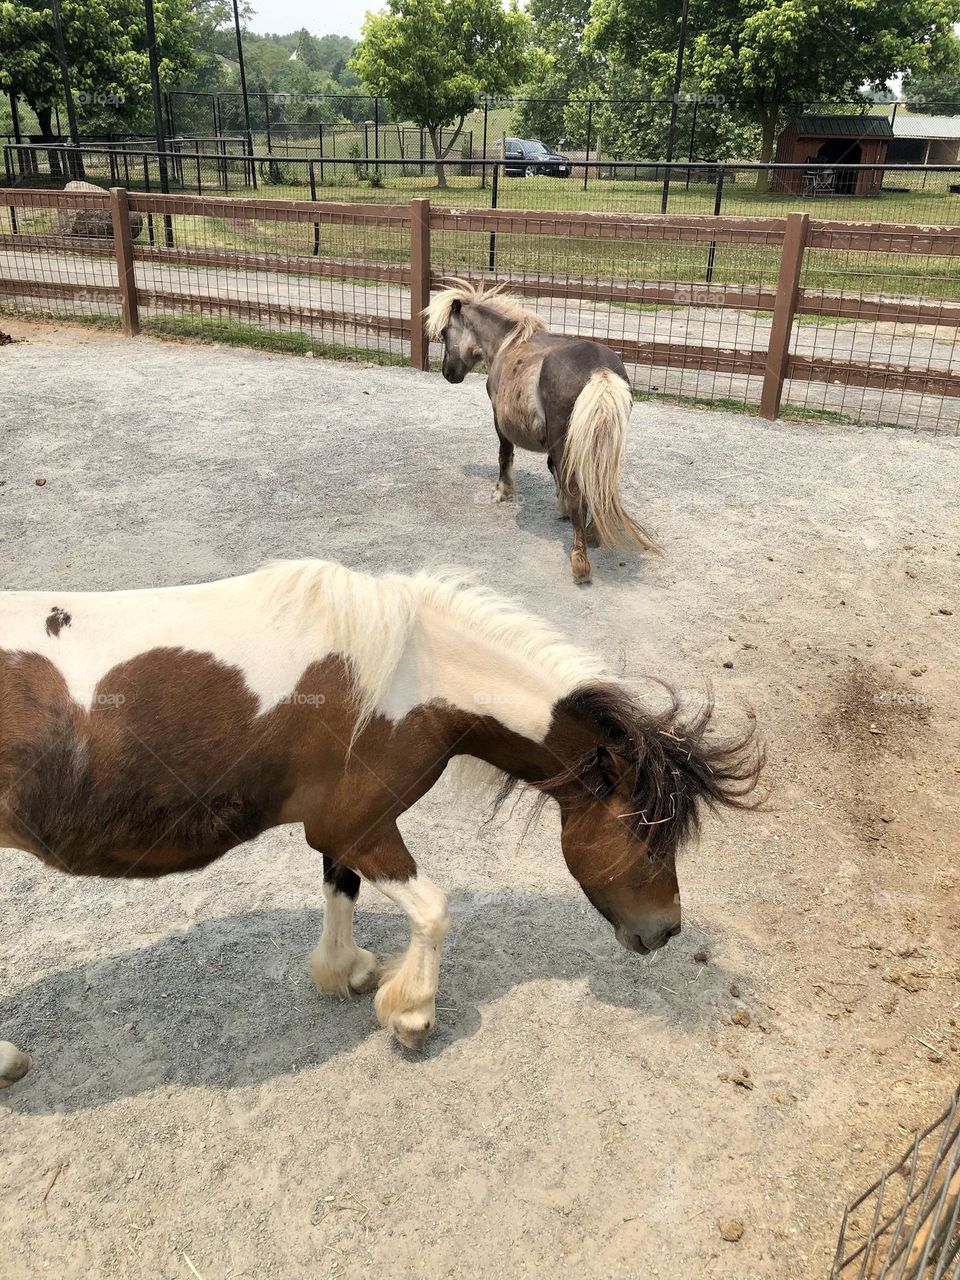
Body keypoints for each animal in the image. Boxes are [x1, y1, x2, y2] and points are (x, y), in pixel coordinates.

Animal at [0, 559, 761, 1083]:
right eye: (645, 831)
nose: (666, 931)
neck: (412, 675)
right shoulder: (364, 828)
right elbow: (433, 910)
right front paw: (412, 1013)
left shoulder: (342, 827)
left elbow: (340, 889)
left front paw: (348, 972)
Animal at [425, 279, 660, 583]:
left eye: (444, 333)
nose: (447, 373)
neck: (507, 344)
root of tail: (600, 370)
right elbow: (552, 469)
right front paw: (560, 506)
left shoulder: (499, 420)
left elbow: (505, 455)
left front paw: (502, 490)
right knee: (598, 483)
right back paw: (593, 533)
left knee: (578, 494)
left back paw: (580, 560)